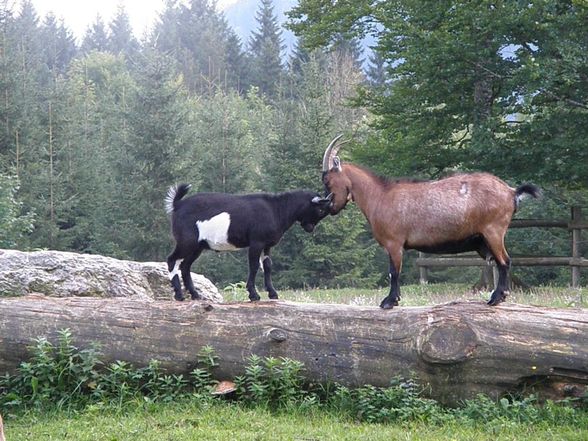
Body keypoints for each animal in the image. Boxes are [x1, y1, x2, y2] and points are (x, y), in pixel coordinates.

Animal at [165, 184, 330, 300]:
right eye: (321, 210)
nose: (310, 228)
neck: (277, 209)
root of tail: (177, 205)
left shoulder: (267, 245)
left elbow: (268, 266)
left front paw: (273, 294)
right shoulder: (256, 242)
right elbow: (254, 266)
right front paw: (254, 295)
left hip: (197, 247)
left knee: (185, 266)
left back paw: (196, 295)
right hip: (186, 241)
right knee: (172, 260)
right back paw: (179, 295)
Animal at [322, 135, 544, 310]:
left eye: (327, 180)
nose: (329, 207)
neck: (380, 196)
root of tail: (511, 192)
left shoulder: (394, 243)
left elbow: (394, 272)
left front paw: (389, 301)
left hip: (493, 231)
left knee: (505, 261)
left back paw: (497, 298)